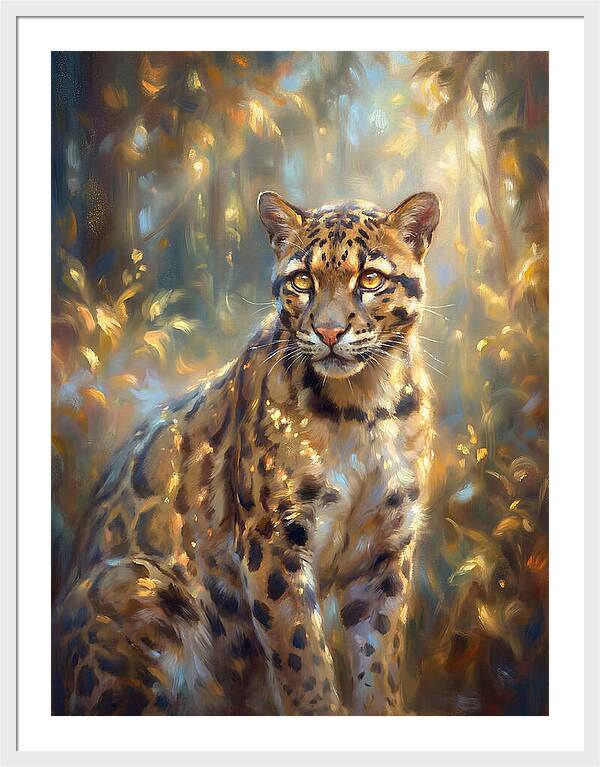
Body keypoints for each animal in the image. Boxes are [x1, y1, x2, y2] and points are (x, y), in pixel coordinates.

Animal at [53, 189, 440, 716]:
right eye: (302, 280)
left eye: (370, 279)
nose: (329, 332)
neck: (364, 408)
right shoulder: (274, 543)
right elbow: (302, 660)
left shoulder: (386, 549)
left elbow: (378, 660)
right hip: (135, 584)